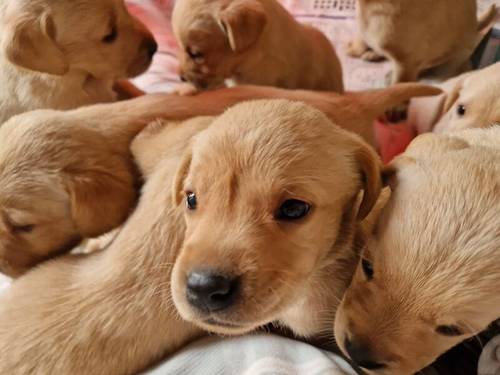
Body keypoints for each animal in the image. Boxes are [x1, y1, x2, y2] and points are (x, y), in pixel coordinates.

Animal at [350, 0, 498, 83]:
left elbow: (400, 83)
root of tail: (476, 26)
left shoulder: (406, 61)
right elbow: (362, 38)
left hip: (451, 62)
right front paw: (355, 48)